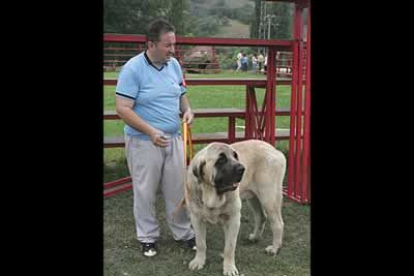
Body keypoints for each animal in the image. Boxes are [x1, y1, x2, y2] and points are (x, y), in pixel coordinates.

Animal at [186, 140, 286, 276]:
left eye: (235, 156)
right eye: (221, 160)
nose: (242, 168)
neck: (211, 194)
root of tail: (275, 150)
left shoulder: (233, 219)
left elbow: (229, 247)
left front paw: (229, 268)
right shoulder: (196, 219)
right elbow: (200, 243)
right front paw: (199, 261)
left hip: (269, 197)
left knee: (278, 223)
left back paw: (275, 248)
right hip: (253, 198)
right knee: (261, 217)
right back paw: (255, 237)